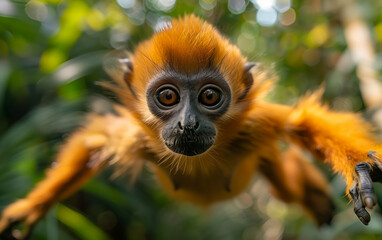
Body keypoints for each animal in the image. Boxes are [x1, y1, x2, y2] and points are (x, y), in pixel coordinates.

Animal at [0, 14, 382, 238]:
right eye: (168, 96)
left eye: (209, 96)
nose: (188, 124)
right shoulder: (138, 138)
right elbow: (95, 140)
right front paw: (30, 207)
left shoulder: (254, 126)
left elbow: (300, 122)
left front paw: (361, 169)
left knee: (285, 183)